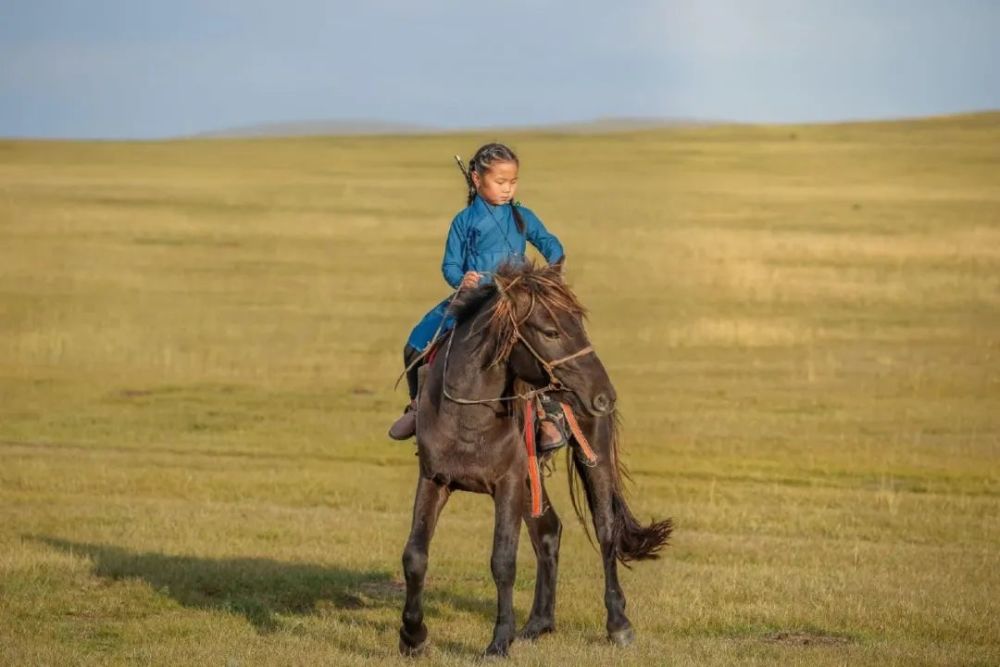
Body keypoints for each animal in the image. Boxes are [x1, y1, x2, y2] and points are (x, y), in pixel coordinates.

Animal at [398, 260, 672, 656]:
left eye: (579, 325)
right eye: (550, 331)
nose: (604, 395)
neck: (469, 417)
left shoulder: (508, 483)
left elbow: (503, 561)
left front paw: (499, 641)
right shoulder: (435, 478)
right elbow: (415, 556)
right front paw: (412, 636)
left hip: (591, 457)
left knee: (606, 531)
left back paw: (618, 624)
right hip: (532, 478)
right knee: (548, 531)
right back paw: (538, 623)